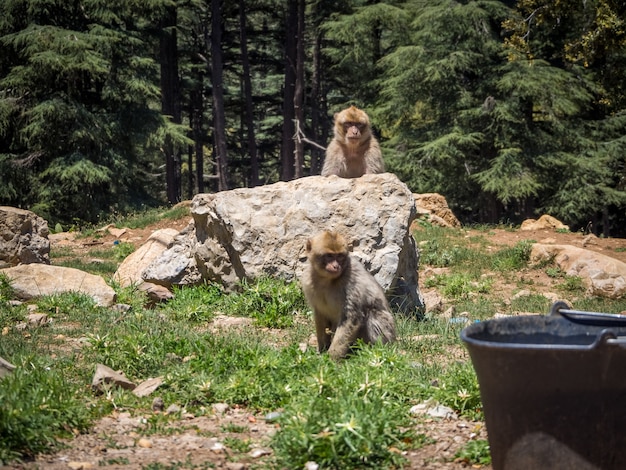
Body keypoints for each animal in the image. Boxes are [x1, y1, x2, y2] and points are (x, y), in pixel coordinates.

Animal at [298, 231, 394, 360]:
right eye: (329, 256)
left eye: (339, 256)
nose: (336, 266)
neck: (327, 280)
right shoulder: (308, 282)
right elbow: (320, 315)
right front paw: (322, 349)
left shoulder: (351, 282)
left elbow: (351, 317)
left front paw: (331, 358)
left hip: (388, 333)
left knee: (372, 314)